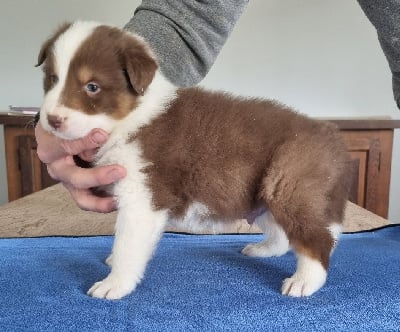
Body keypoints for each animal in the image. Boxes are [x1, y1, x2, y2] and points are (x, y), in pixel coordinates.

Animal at [36, 21, 352, 300]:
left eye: (92, 87)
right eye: (52, 79)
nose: (51, 120)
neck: (131, 117)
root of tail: (331, 137)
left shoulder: (143, 197)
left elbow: (128, 243)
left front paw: (114, 284)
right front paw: (114, 264)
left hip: (288, 183)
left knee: (317, 238)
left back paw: (304, 281)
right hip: (263, 193)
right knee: (284, 234)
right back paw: (262, 249)